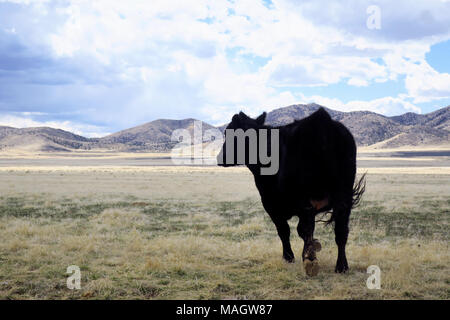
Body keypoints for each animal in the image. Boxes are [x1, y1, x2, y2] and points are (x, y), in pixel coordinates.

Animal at [218, 107, 366, 276]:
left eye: (229, 133)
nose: (220, 158)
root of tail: (323, 121)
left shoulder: (270, 203)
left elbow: (284, 230)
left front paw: (289, 257)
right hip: (343, 197)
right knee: (340, 231)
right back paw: (341, 266)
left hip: (306, 198)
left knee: (307, 229)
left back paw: (311, 261)